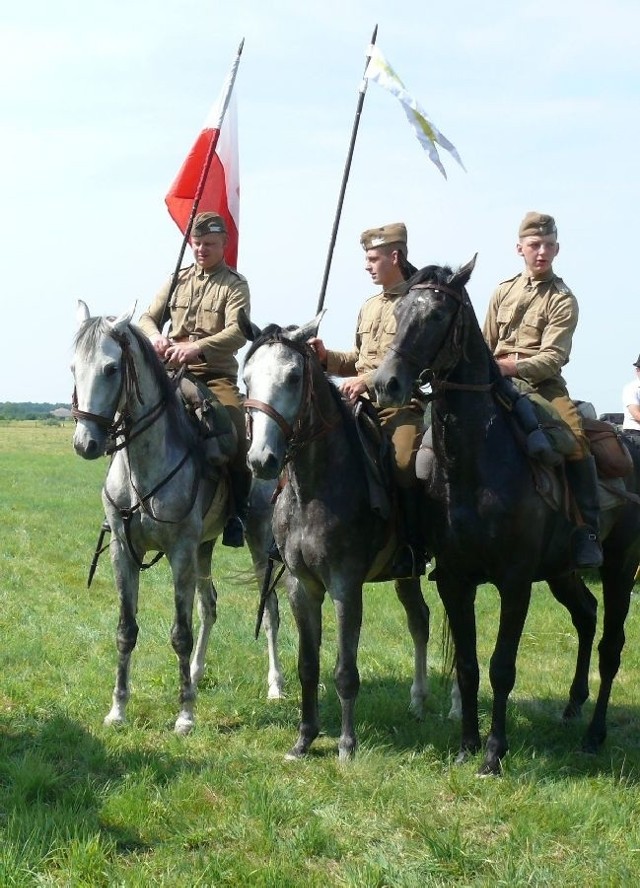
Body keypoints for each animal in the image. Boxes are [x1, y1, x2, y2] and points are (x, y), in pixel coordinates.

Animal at [71, 302, 284, 732]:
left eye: (111, 368)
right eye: (73, 367)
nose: (86, 443)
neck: (144, 464)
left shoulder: (180, 551)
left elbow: (180, 634)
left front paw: (185, 715)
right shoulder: (123, 551)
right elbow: (126, 630)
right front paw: (118, 709)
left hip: (257, 539)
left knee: (269, 610)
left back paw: (275, 686)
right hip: (205, 547)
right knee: (210, 606)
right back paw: (198, 675)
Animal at [240, 314, 430, 764]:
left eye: (293, 376)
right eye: (247, 378)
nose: (261, 460)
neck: (314, 490)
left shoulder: (346, 587)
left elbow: (345, 669)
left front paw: (346, 744)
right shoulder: (302, 587)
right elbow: (308, 665)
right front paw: (304, 739)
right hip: (406, 575)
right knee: (420, 620)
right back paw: (418, 702)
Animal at [372, 260, 640, 772]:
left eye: (437, 315)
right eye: (397, 310)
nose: (385, 384)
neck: (479, 464)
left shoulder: (515, 583)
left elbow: (501, 666)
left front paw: (494, 753)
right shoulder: (455, 580)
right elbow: (470, 666)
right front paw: (466, 746)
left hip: (620, 567)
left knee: (611, 647)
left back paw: (594, 734)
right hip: (561, 572)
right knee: (586, 615)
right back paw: (572, 706)